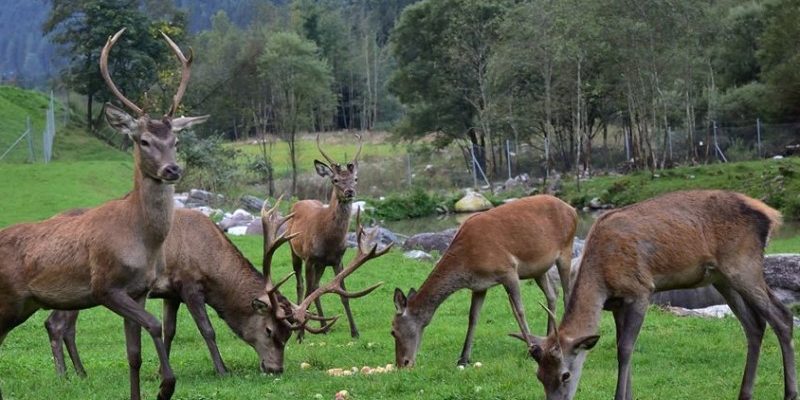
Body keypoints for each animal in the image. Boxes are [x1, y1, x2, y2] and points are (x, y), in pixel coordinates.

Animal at [0, 28, 209, 400]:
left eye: (176, 141)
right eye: (143, 140)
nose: (172, 170)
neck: (142, 241)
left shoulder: (140, 290)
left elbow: (133, 354)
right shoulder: (105, 285)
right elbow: (155, 324)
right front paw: (165, 386)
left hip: (25, 303)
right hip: (8, 297)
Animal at [43, 203, 388, 378]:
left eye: (289, 336)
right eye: (269, 331)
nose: (275, 369)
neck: (209, 257)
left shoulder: (171, 294)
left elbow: (168, 331)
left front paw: (161, 371)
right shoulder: (190, 284)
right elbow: (207, 329)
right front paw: (222, 370)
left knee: (60, 325)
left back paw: (79, 372)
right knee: (56, 324)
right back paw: (64, 375)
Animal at [286, 134, 364, 338]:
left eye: (355, 178)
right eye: (335, 180)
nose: (349, 192)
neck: (329, 240)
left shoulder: (338, 260)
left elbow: (343, 294)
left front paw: (355, 331)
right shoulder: (309, 258)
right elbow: (308, 291)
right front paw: (300, 333)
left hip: (320, 264)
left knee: (316, 286)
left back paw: (324, 326)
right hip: (293, 250)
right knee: (302, 285)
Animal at [390, 195, 572, 368]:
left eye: (393, 330)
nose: (402, 363)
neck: (468, 259)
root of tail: (571, 208)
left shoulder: (509, 270)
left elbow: (519, 311)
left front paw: (531, 350)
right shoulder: (479, 286)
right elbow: (473, 317)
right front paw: (463, 359)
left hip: (565, 251)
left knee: (566, 293)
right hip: (538, 269)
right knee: (552, 293)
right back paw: (548, 337)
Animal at [520, 190, 796, 400]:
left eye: (565, 374)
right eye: (538, 375)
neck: (602, 280)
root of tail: (771, 214)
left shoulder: (641, 290)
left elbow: (625, 349)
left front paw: (620, 396)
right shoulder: (617, 304)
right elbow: (622, 347)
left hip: (743, 265)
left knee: (782, 316)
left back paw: (790, 392)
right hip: (722, 278)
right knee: (755, 324)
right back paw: (744, 393)